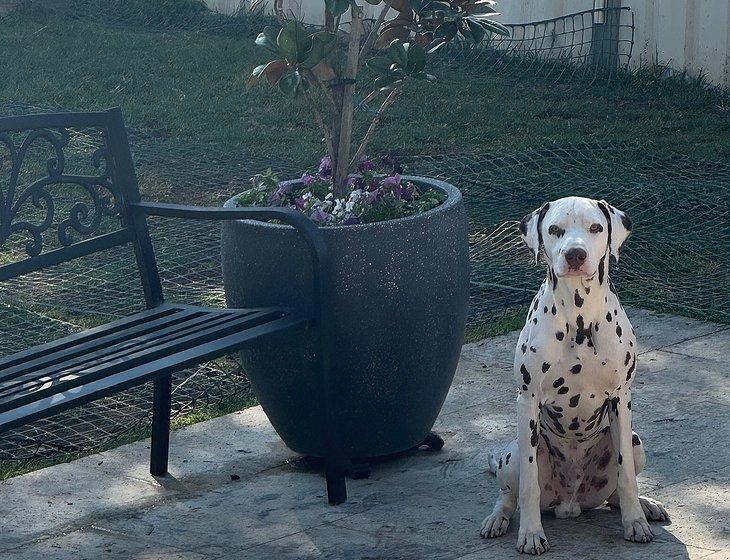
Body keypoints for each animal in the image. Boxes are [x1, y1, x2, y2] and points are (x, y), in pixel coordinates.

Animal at [478, 197, 664, 556]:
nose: (575, 254)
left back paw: (646, 505)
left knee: (616, 494)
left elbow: (627, 479)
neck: (579, 318)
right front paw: (530, 533)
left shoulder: (621, 398)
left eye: (595, 227)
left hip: (636, 442)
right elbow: (529, 487)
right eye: (554, 229)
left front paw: (635, 522)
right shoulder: (527, 401)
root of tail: (570, 504)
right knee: (508, 495)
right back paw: (498, 519)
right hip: (515, 452)